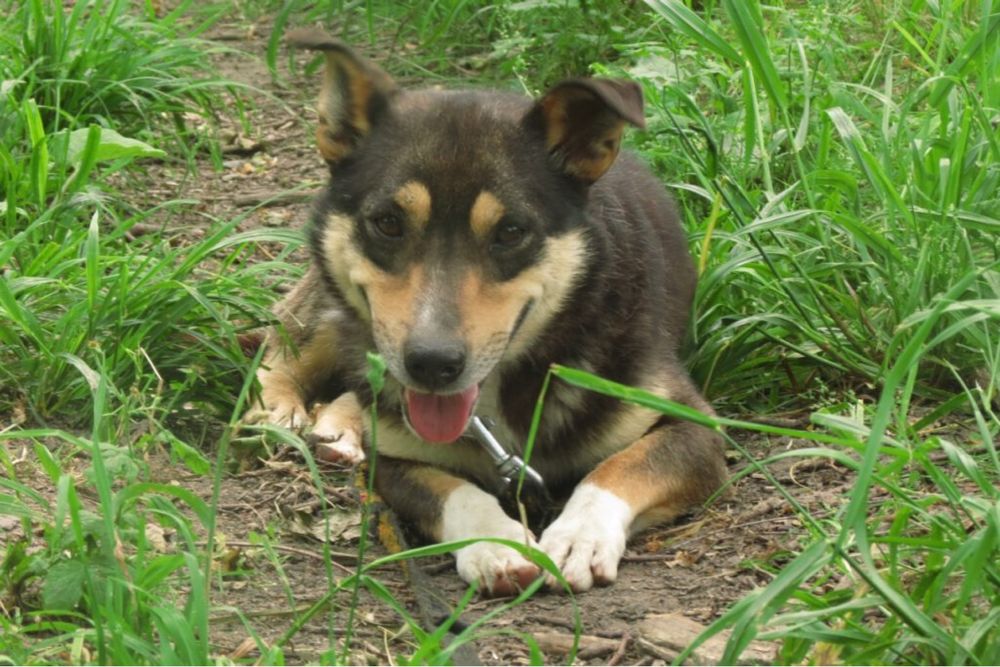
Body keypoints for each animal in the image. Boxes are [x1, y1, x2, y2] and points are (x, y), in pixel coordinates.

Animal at [244, 30, 728, 596]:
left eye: (511, 232)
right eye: (387, 222)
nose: (431, 364)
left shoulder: (695, 428)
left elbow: (617, 469)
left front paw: (579, 535)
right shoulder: (394, 462)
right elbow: (455, 491)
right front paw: (495, 542)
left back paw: (340, 426)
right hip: (330, 310)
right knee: (284, 346)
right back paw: (283, 408)